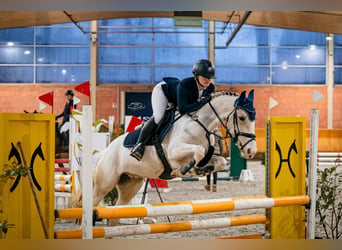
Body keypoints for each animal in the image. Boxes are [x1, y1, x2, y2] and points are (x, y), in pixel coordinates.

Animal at [72, 90, 256, 225]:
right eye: (242, 118)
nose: (250, 152)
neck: (200, 125)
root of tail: (106, 151)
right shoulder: (174, 153)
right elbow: (197, 152)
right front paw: (185, 170)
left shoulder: (210, 156)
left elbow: (220, 161)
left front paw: (200, 170)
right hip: (103, 185)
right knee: (91, 206)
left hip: (130, 185)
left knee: (115, 215)